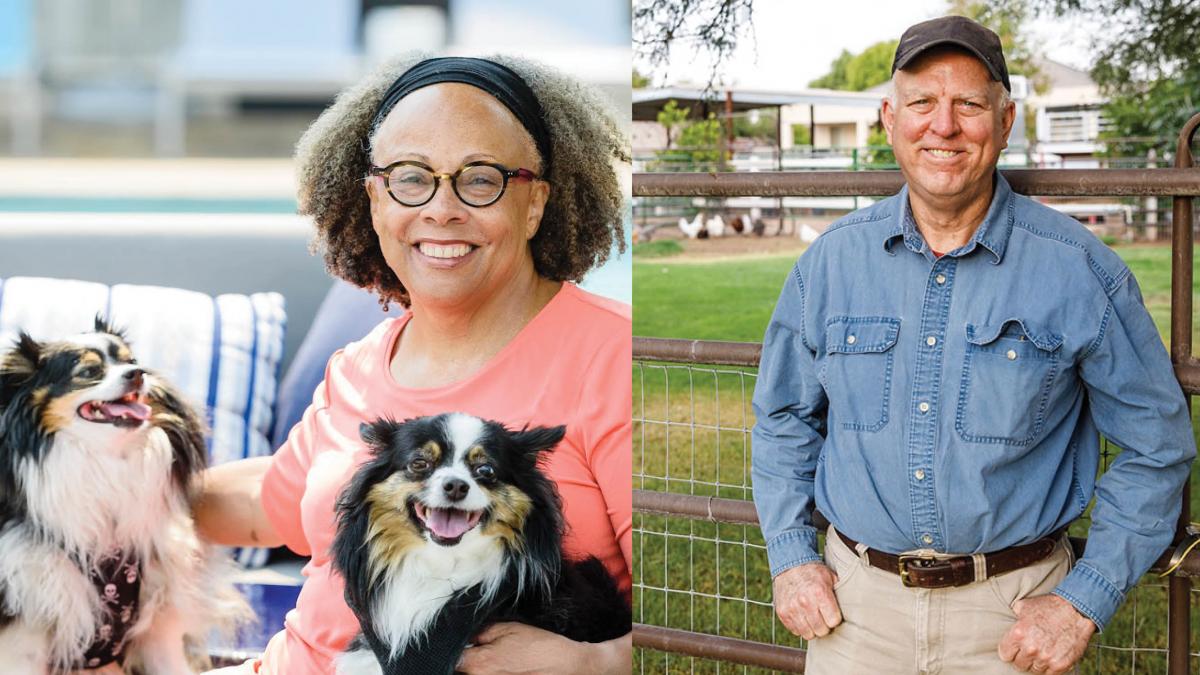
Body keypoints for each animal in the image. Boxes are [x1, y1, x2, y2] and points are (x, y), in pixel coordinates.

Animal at [0, 317, 247, 667]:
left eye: (131, 361)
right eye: (90, 371)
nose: (138, 373)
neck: (108, 461)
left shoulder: (159, 628)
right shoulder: (24, 630)